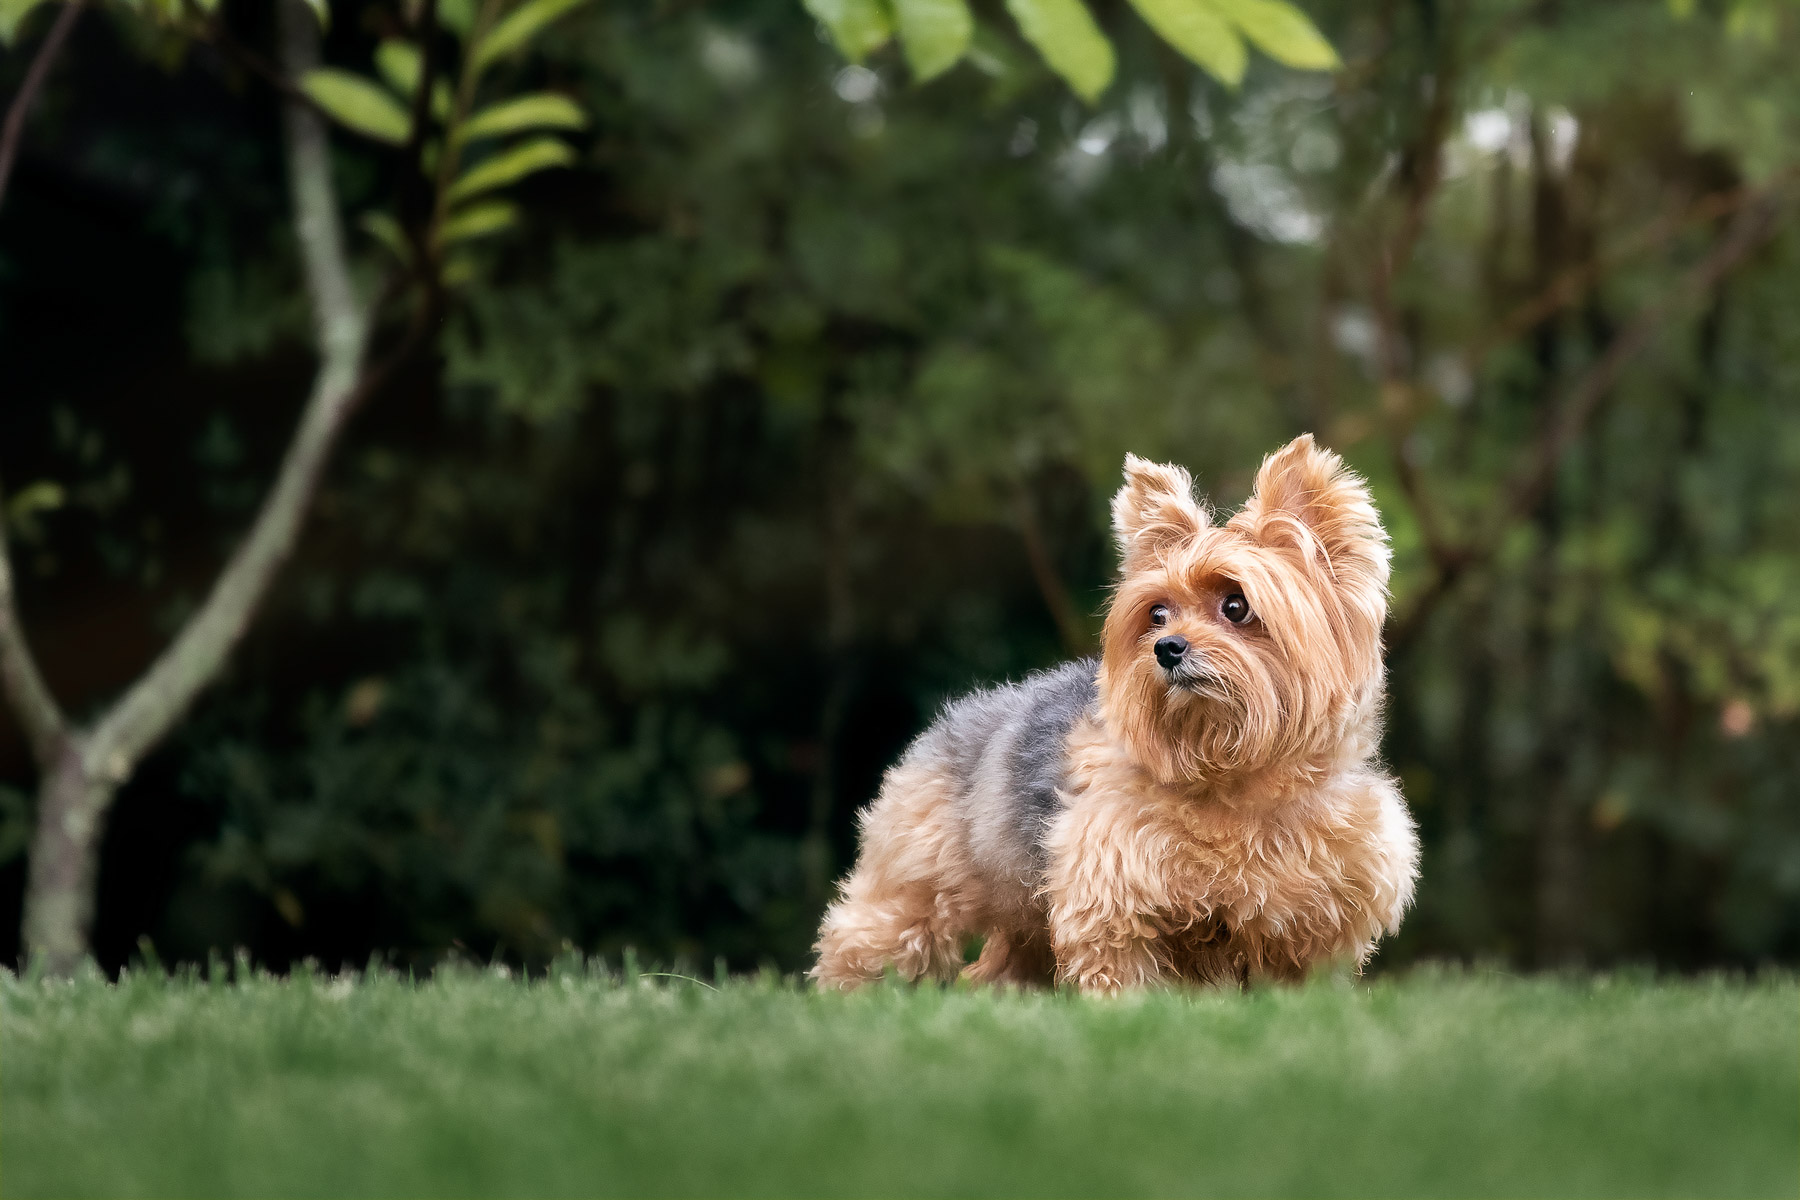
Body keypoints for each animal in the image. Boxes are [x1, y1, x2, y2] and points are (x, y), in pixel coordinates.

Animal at [817, 437, 1418, 993]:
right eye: (1157, 613)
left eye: (1236, 605)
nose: (1167, 648)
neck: (1232, 772)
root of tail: (958, 715)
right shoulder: (1111, 896)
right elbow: (1120, 976)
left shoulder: (1314, 920)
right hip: (921, 888)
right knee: (868, 936)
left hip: (1020, 918)